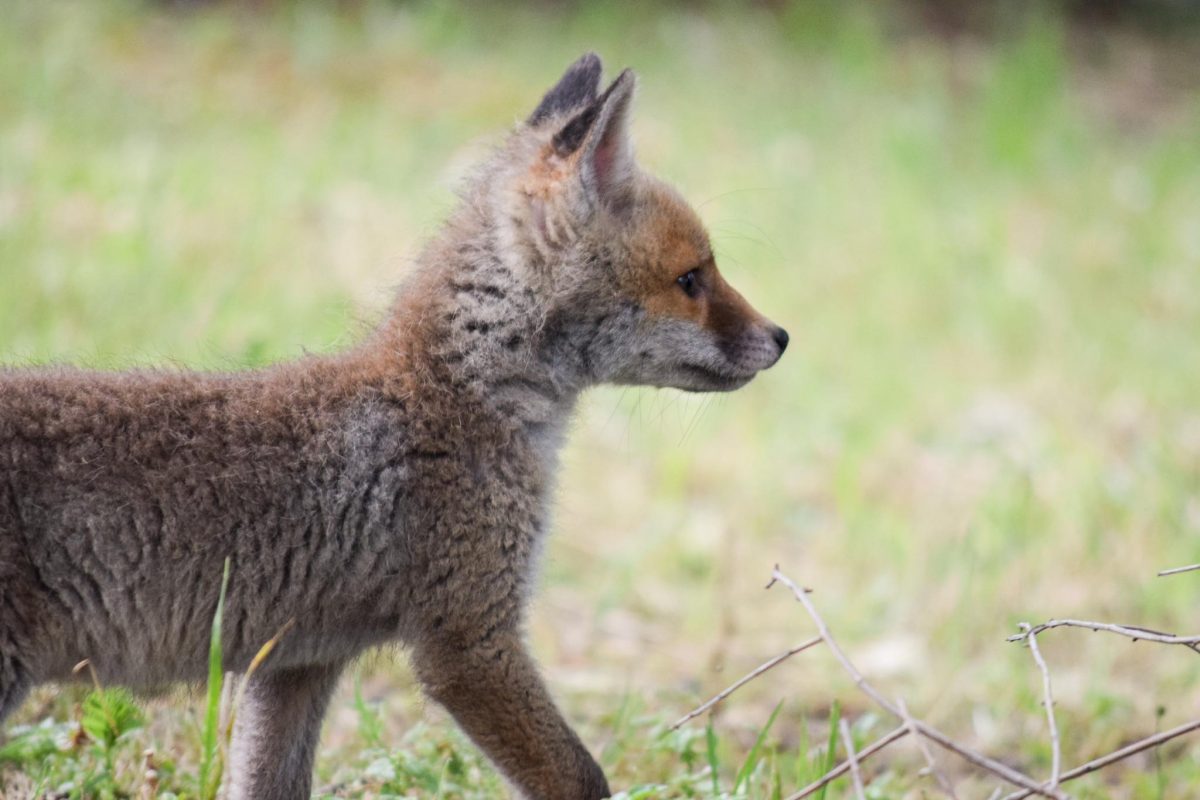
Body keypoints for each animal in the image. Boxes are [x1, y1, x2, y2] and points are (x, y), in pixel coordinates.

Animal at [0, 51, 787, 800]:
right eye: (691, 280)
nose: (781, 337)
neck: (455, 398)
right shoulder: (468, 642)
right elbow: (581, 777)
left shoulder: (297, 662)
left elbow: (269, 783)